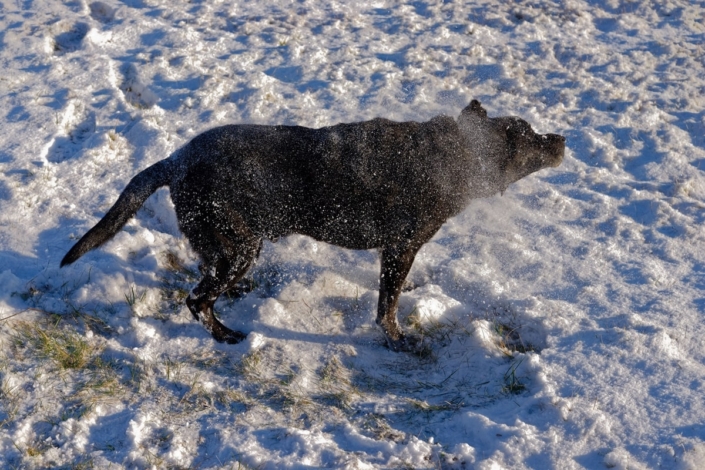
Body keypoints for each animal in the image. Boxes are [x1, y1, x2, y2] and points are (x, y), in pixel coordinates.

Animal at [62, 101, 568, 350]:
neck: (452, 155)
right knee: (196, 300)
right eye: (530, 133)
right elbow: (387, 308)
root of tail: (175, 160)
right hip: (240, 246)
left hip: (228, 246)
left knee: (205, 281)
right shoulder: (399, 249)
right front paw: (397, 341)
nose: (563, 138)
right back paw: (226, 336)